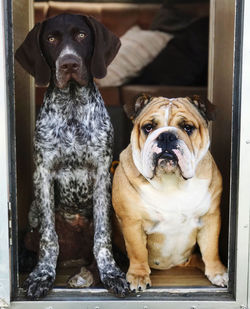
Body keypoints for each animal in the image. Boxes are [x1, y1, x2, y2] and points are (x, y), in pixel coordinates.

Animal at [15, 13, 129, 298]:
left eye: (81, 35)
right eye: (51, 39)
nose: (68, 63)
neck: (73, 106)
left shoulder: (101, 174)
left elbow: (102, 237)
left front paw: (110, 272)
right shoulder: (44, 174)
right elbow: (48, 238)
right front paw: (42, 275)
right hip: (34, 212)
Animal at [113, 94, 229, 292]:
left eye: (187, 127)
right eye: (148, 127)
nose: (166, 135)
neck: (171, 181)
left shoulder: (210, 218)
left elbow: (211, 249)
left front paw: (217, 272)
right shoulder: (132, 222)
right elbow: (137, 251)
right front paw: (138, 276)